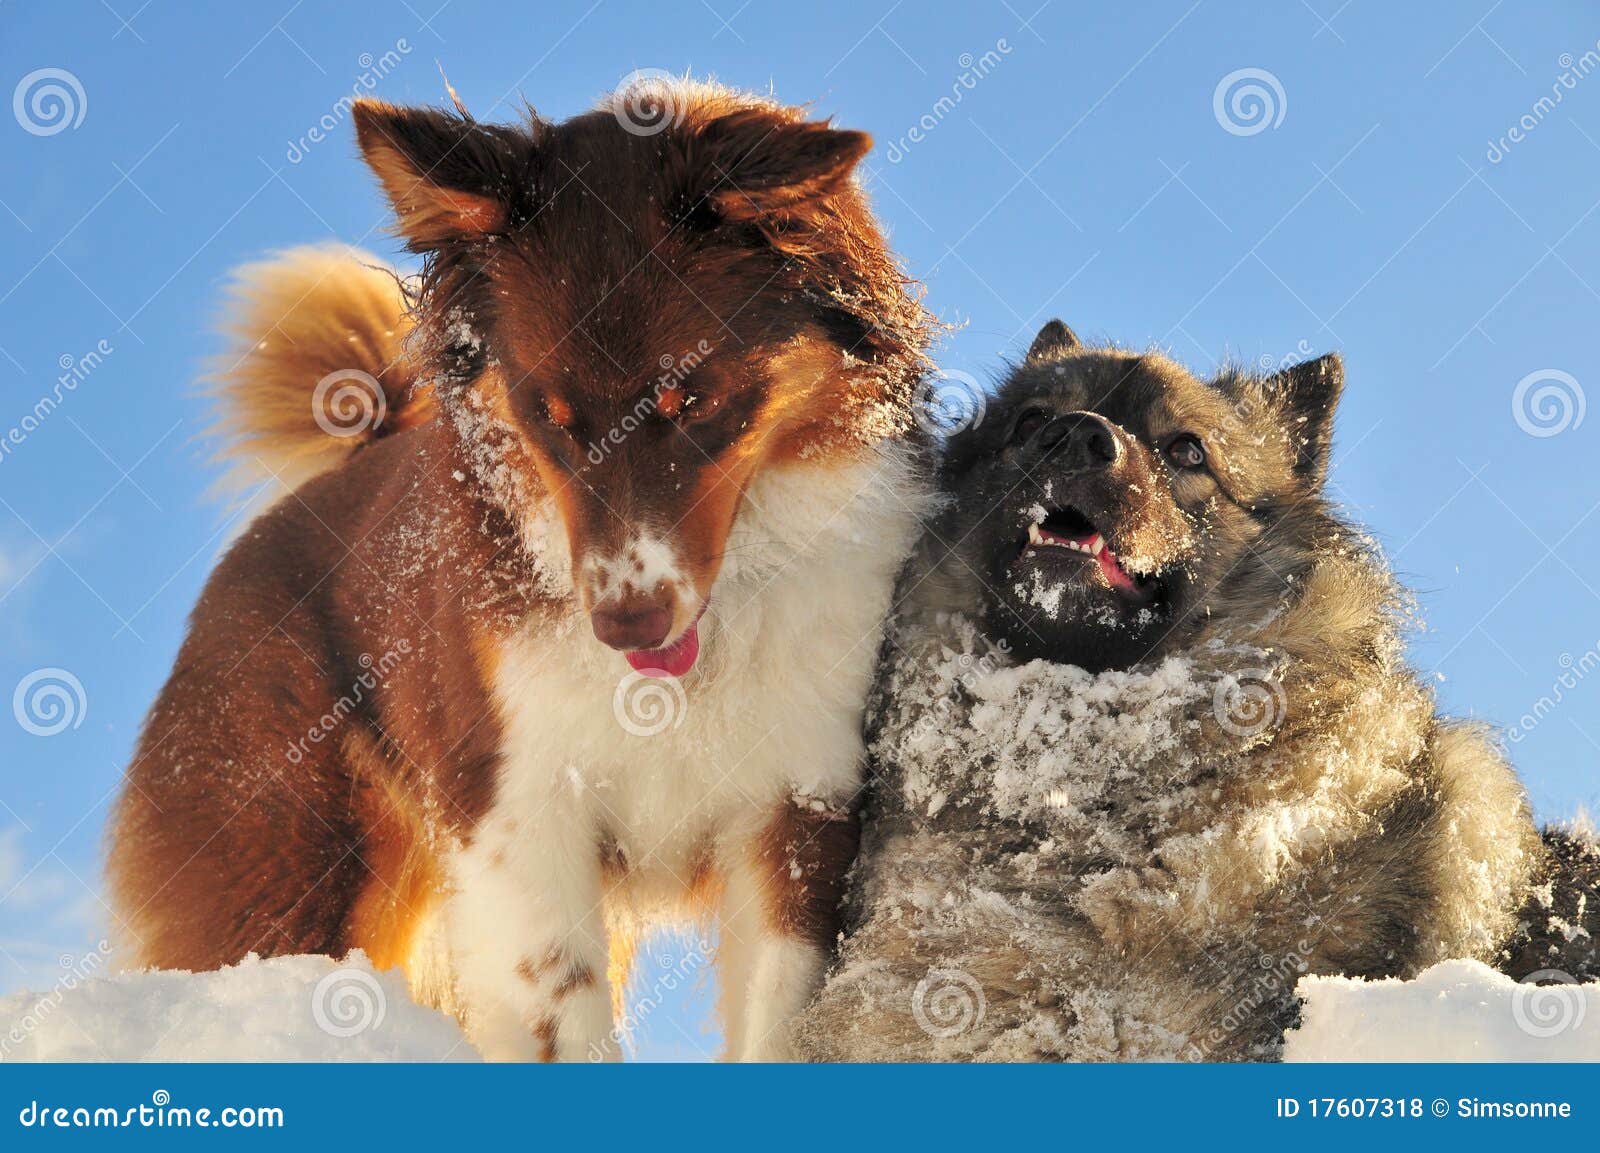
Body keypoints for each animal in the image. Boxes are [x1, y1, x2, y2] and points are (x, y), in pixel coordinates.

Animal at [112, 80, 934, 1061]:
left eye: (688, 396)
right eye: (550, 412)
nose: (625, 624)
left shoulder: (799, 807)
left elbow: (776, 1024)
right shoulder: (521, 813)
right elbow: (560, 1017)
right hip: (290, 871)